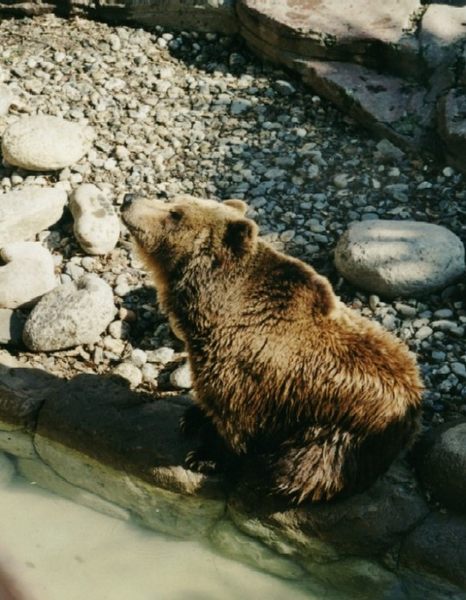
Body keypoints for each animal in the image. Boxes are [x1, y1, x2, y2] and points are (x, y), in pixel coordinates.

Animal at [122, 195, 424, 504]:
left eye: (175, 213)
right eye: (174, 202)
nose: (128, 200)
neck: (213, 307)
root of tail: (414, 405)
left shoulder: (245, 368)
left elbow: (234, 418)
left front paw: (204, 456)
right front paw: (193, 417)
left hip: (345, 428)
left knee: (308, 465)